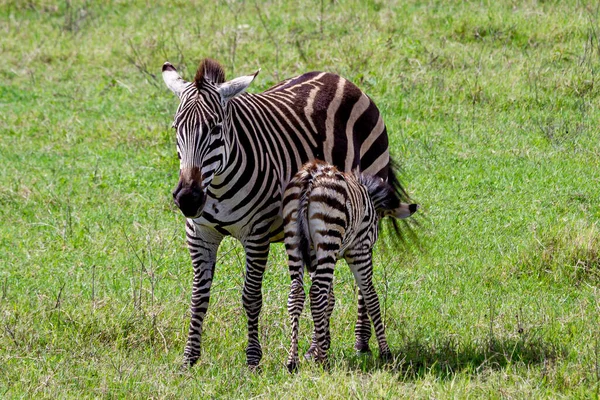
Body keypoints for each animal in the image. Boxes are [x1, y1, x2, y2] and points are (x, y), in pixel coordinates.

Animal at [282, 160, 418, 372]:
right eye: (377, 222)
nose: (375, 238)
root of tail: (311, 175)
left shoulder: (314, 257)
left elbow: (330, 300)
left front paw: (318, 346)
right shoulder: (359, 250)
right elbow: (371, 297)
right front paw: (385, 352)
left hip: (294, 240)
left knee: (297, 293)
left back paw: (292, 362)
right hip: (330, 234)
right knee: (317, 294)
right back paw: (324, 363)